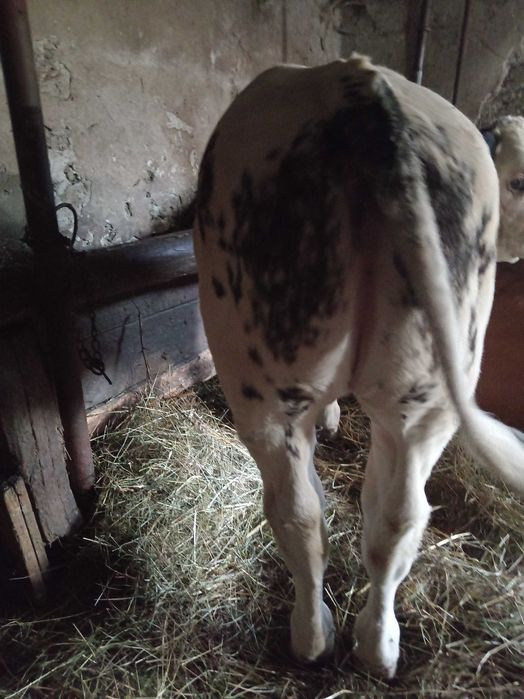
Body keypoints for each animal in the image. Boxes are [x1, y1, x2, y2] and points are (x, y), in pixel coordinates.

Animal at [193, 54, 524, 678]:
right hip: (417, 398)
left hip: (272, 387)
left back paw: (327, 640)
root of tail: (354, 80)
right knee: (382, 518)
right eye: (520, 179)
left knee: (317, 515)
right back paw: (364, 645)